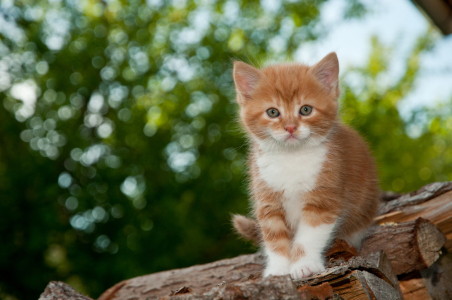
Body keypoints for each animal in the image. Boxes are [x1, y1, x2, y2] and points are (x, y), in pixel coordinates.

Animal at [233, 52, 378, 280]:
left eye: (306, 110)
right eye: (272, 112)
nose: (291, 127)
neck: (291, 157)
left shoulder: (324, 197)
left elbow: (310, 235)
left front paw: (304, 265)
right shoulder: (267, 200)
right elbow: (274, 237)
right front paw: (278, 269)